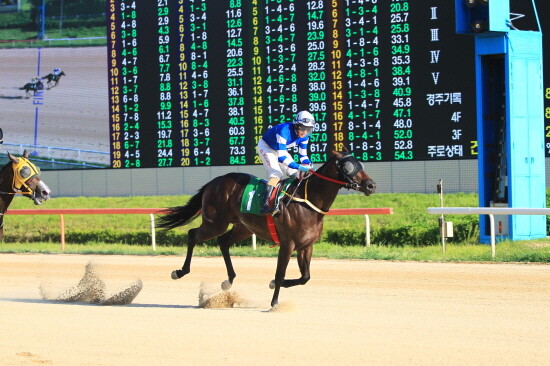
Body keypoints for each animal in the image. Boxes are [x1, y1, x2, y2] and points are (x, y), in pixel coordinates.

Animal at [157, 149, 378, 306]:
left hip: (244, 227)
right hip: (215, 222)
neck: (307, 203)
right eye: (348, 166)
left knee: (223, 241)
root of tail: (214, 181)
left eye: (360, 163)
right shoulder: (288, 243)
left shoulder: (306, 245)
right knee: (193, 235)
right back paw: (180, 271)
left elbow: (305, 277)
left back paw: (228, 280)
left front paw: (273, 286)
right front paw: (274, 302)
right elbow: (280, 273)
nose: (371, 185)